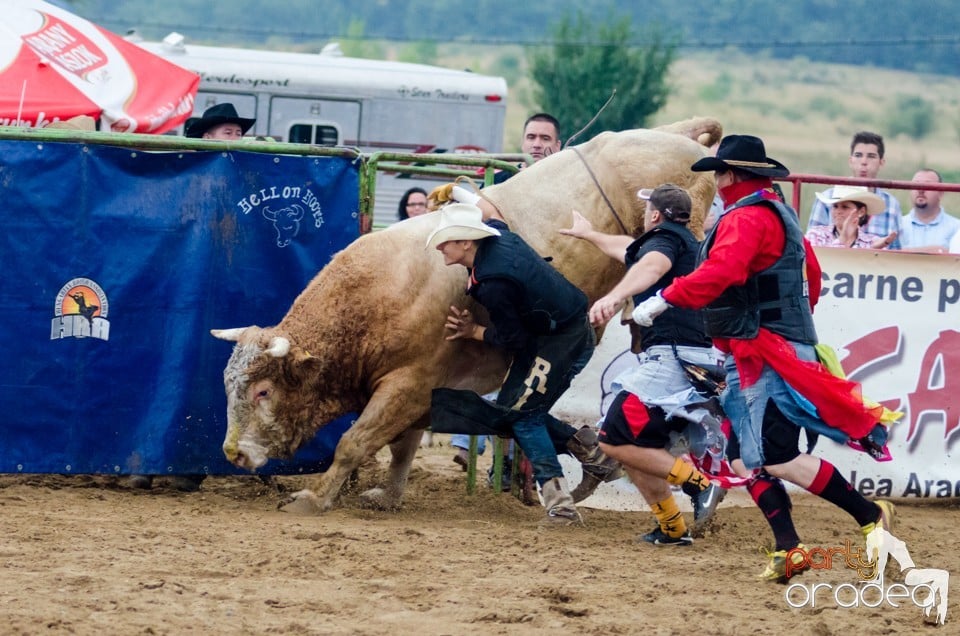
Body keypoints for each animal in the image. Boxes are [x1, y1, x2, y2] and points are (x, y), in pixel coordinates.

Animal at [210, 117, 720, 516]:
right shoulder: (424, 391)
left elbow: (355, 441)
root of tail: (678, 135)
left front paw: (314, 498)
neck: (379, 295)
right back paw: (594, 460)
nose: (233, 453)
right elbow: (403, 448)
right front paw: (388, 496)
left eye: (262, 390)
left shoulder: (408, 384)